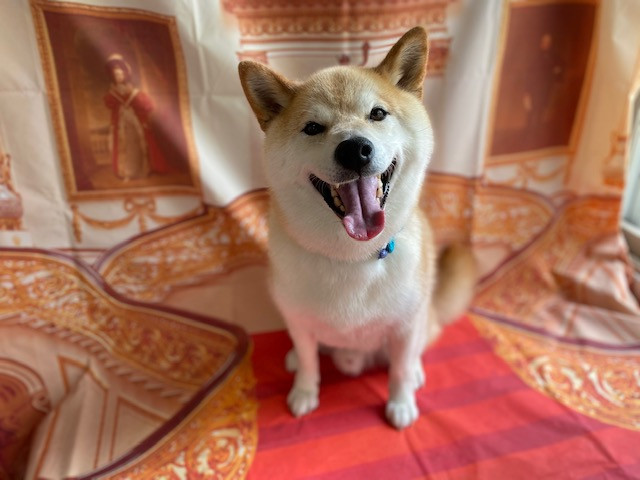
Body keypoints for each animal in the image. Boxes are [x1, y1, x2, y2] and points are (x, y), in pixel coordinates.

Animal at [238, 27, 476, 429]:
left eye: (377, 113)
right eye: (313, 128)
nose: (354, 149)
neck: (353, 256)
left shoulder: (405, 325)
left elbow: (399, 368)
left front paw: (400, 402)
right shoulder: (299, 319)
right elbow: (309, 360)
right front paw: (304, 391)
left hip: (421, 319)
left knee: (416, 350)